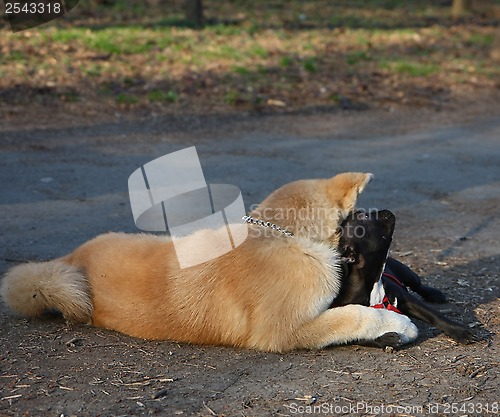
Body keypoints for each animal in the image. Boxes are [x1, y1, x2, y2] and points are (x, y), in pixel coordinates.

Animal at [1, 172, 416, 352]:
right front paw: (398, 323)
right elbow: (353, 315)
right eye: (363, 215)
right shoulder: (282, 331)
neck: (285, 235)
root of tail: (71, 259)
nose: (389, 212)